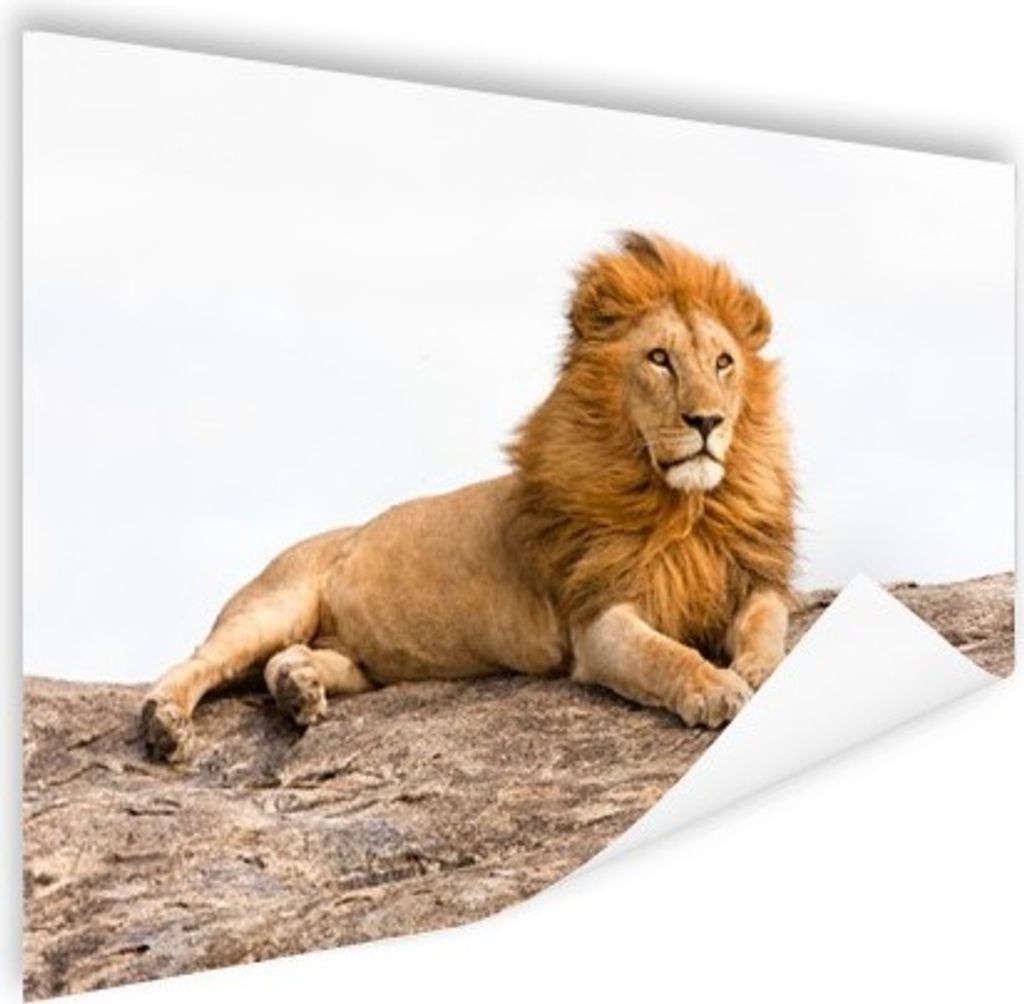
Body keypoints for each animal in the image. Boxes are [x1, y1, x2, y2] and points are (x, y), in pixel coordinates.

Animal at [142, 232, 796, 762]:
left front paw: (758, 667)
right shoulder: (598, 618)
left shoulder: (750, 578)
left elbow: (769, 621)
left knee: (287, 659)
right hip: (274, 603)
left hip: (359, 662)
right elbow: (663, 654)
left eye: (724, 362)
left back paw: (297, 688)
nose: (708, 421)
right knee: (198, 660)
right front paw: (715, 687)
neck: (685, 508)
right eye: (659, 359)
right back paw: (164, 723)